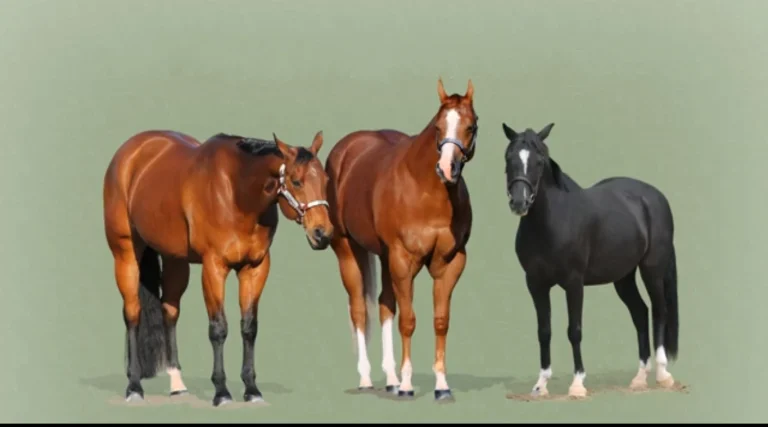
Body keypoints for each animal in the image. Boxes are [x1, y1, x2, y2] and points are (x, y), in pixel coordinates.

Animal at [102, 129, 333, 407]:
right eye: (296, 181)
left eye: (326, 179)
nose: (322, 234)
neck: (237, 192)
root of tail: (130, 150)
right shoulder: (214, 268)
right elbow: (219, 328)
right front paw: (221, 392)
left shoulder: (255, 268)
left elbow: (249, 327)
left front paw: (252, 389)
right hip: (125, 253)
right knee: (132, 314)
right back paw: (134, 386)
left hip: (175, 260)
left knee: (170, 311)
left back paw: (177, 384)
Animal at [324, 79, 478, 402]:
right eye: (438, 127)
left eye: (471, 126)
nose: (447, 169)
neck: (427, 192)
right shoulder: (404, 261)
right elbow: (408, 321)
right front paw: (408, 386)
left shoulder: (451, 263)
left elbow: (440, 321)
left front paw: (441, 386)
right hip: (347, 249)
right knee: (359, 309)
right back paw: (368, 379)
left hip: (384, 257)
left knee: (385, 305)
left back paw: (391, 379)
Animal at [501, 122, 680, 398]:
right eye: (509, 158)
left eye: (539, 161)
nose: (519, 202)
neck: (552, 221)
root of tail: (655, 197)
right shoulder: (536, 284)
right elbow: (544, 331)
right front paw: (541, 385)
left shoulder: (574, 283)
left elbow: (574, 331)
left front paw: (577, 384)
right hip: (623, 277)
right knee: (640, 313)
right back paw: (639, 379)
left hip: (652, 269)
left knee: (659, 311)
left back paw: (663, 375)